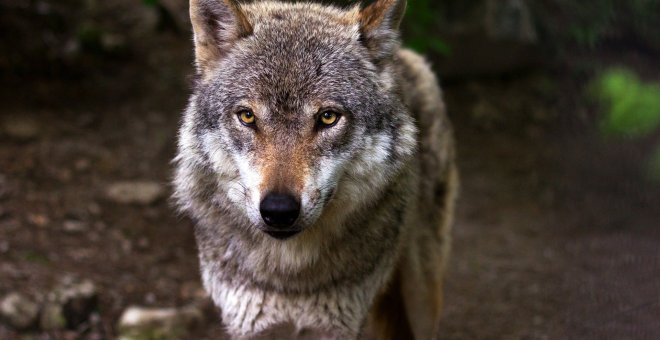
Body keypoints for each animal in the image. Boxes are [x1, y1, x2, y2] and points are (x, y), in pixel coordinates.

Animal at [173, 0, 456, 338]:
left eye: (328, 117)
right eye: (247, 116)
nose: (279, 210)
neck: (291, 277)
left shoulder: (340, 327)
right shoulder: (248, 325)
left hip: (422, 295)